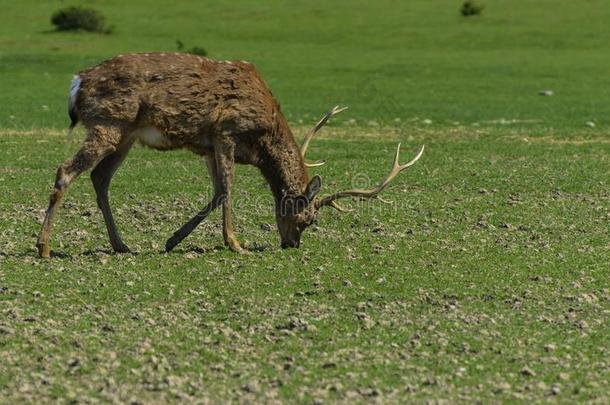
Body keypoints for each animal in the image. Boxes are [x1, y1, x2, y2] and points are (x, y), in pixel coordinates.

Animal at [35, 52, 420, 258]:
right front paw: (235, 243)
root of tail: (76, 83)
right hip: (108, 122)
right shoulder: (225, 132)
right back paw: (44, 247)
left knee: (99, 177)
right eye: (309, 219)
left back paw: (121, 245)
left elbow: (217, 190)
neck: (262, 139)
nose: (291, 244)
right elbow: (228, 188)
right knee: (66, 170)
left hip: (126, 134)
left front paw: (172, 240)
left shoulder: (207, 146)